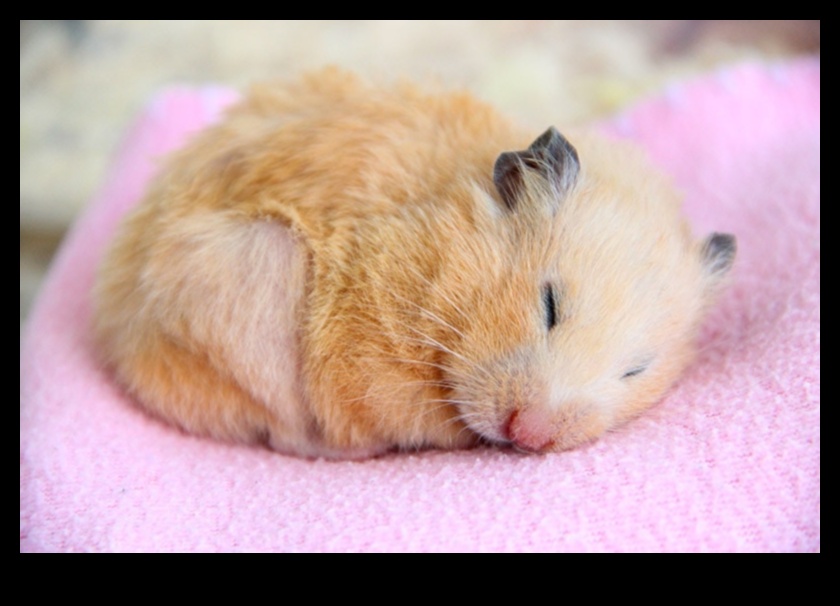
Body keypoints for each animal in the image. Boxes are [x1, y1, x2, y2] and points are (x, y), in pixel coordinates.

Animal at [94, 68, 735, 459]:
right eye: (549, 306)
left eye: (636, 370)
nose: (529, 435)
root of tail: (116, 323)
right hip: (251, 274)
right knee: (279, 430)